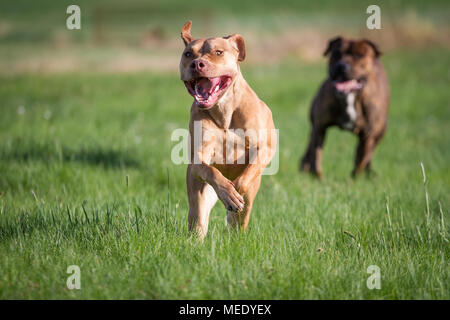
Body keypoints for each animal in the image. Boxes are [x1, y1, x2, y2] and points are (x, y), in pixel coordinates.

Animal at [179, 21, 278, 239]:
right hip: (198, 193)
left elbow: (246, 175)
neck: (224, 110)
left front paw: (234, 193)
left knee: (241, 217)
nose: (197, 64)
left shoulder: (264, 149)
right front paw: (228, 192)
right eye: (188, 54)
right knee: (198, 217)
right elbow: (210, 170)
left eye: (218, 52)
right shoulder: (199, 156)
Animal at [300, 37, 388, 180]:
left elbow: (360, 160)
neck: (350, 96)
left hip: (380, 133)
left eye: (360, 55)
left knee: (368, 154)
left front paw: (353, 180)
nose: (342, 66)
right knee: (309, 149)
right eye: (336, 54)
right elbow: (316, 155)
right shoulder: (319, 127)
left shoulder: (368, 135)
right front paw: (318, 178)